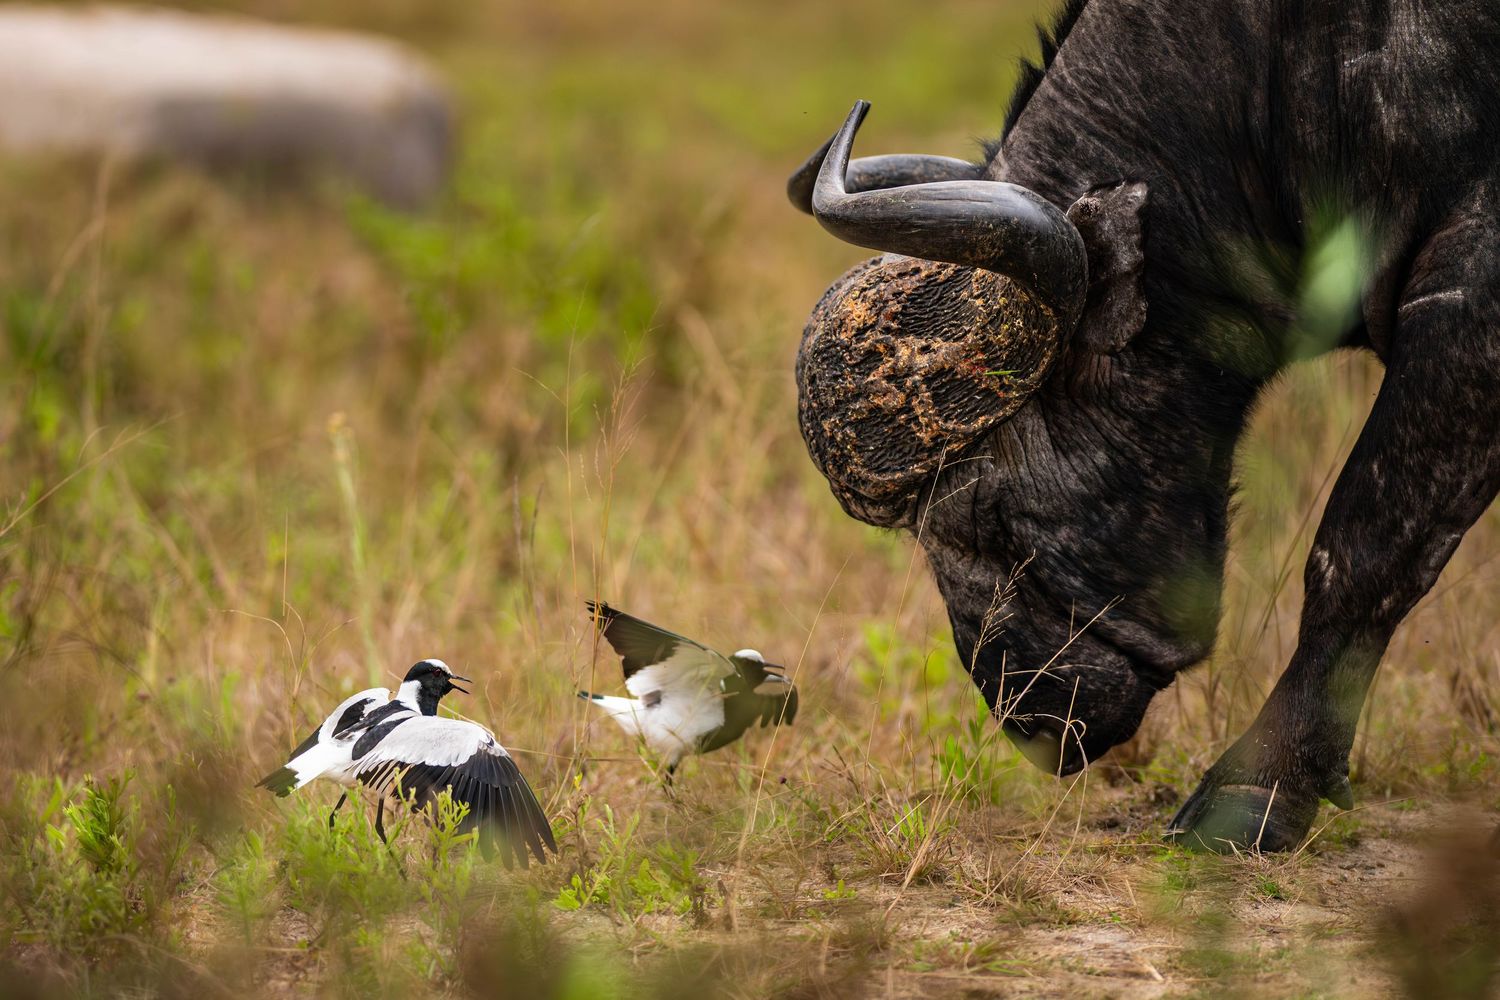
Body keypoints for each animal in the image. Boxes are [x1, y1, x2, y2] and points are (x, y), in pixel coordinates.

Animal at [787, 0, 1500, 851]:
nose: (1029, 717)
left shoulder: (1471, 301)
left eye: (977, 508)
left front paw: (1259, 787)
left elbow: (1361, 553)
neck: (1288, 63)